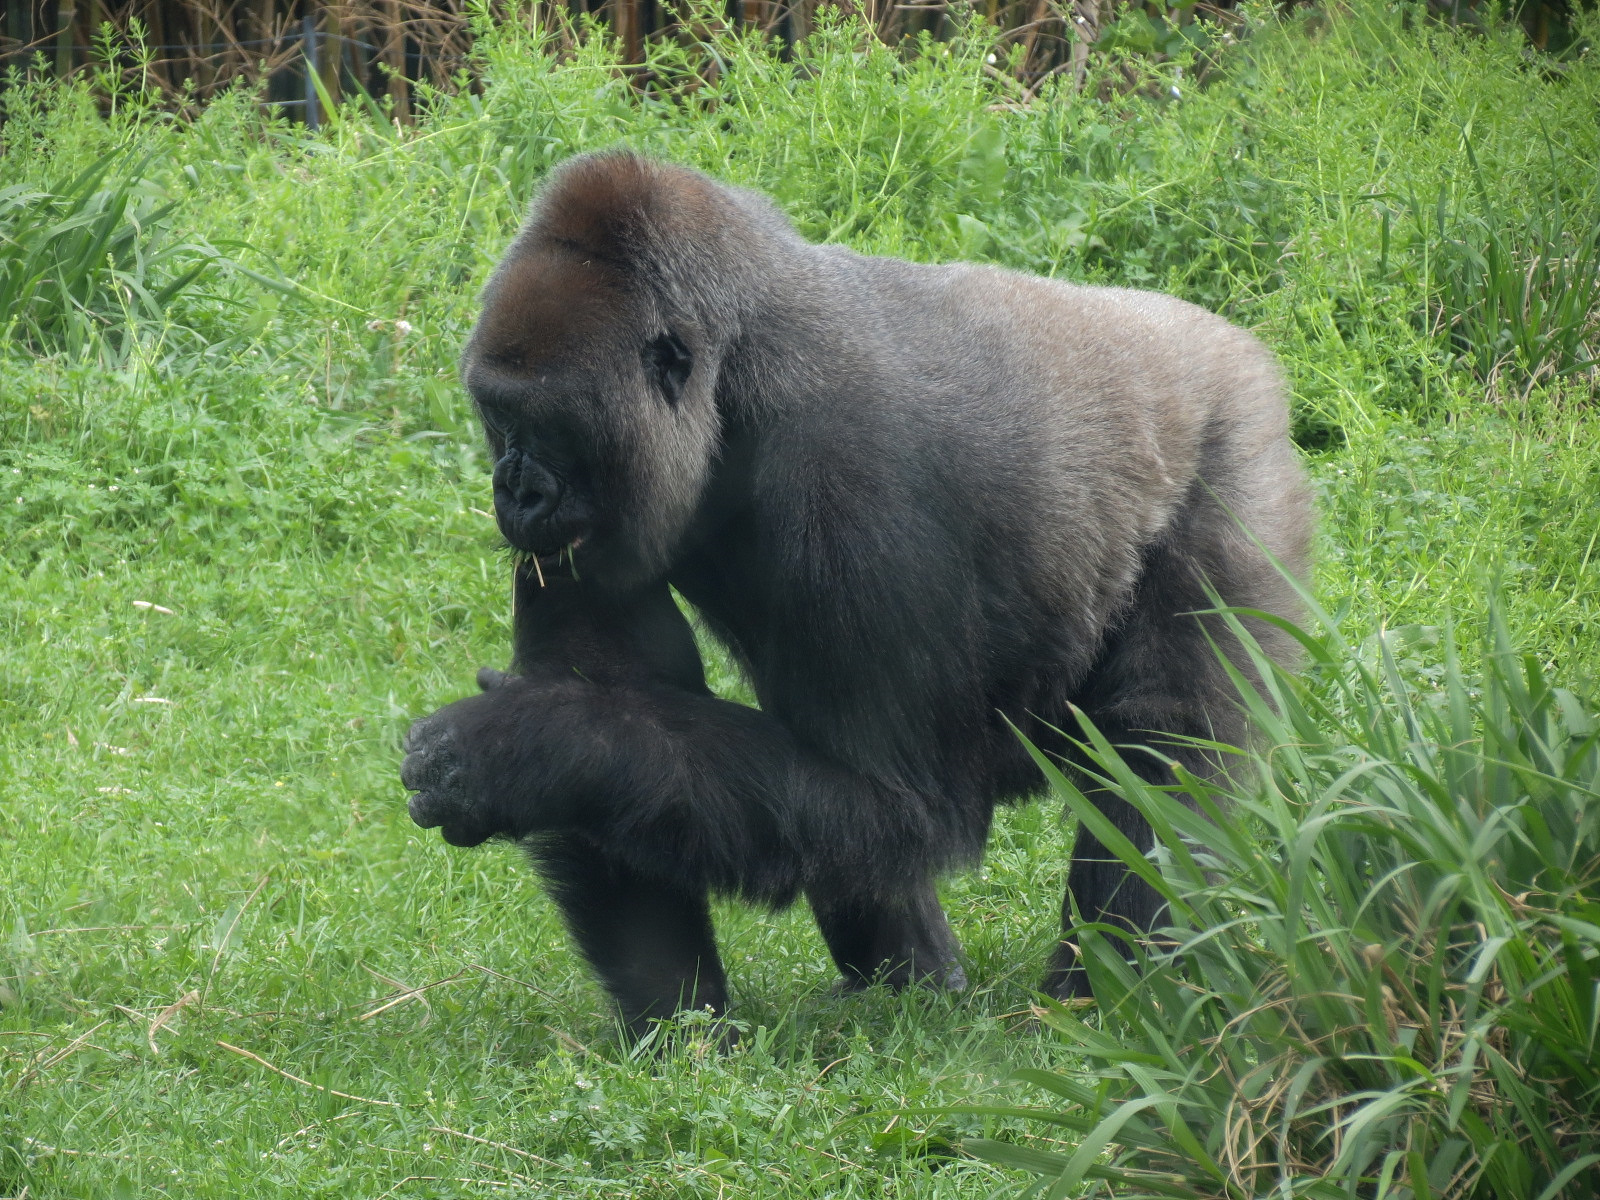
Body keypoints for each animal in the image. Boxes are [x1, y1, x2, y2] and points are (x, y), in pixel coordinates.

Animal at [401, 150, 1313, 1037]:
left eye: (545, 425)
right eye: (498, 416)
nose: (514, 492)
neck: (740, 368)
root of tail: (1226, 339)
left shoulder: (852, 478)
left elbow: (901, 807)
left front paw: (520, 751)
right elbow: (612, 713)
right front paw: (679, 1025)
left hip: (1235, 455)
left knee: (1162, 754)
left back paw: (1114, 995)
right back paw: (917, 981)